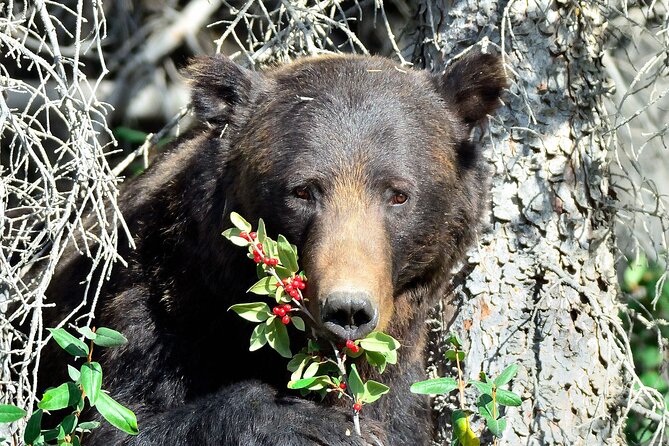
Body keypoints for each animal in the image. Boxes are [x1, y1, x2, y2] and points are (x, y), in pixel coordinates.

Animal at [41, 52, 506, 445]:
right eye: (302, 190)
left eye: (398, 194)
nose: (348, 309)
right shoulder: (151, 308)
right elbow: (123, 419)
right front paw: (316, 426)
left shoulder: (402, 383)